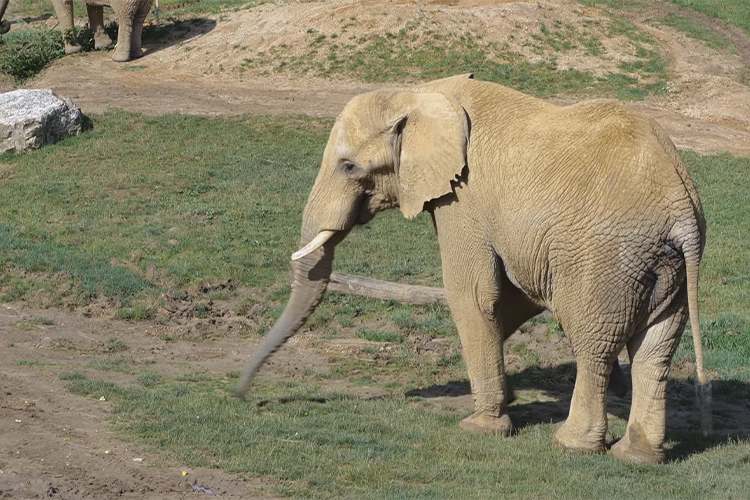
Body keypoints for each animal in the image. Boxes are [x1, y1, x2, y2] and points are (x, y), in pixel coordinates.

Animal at [236, 73, 712, 464]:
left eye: (349, 166)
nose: (242, 392)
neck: (419, 94)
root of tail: (681, 206)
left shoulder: (461, 200)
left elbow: (472, 291)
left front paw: (480, 427)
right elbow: (513, 297)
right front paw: (507, 396)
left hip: (605, 258)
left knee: (594, 342)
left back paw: (570, 445)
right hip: (663, 266)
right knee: (655, 349)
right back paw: (638, 457)